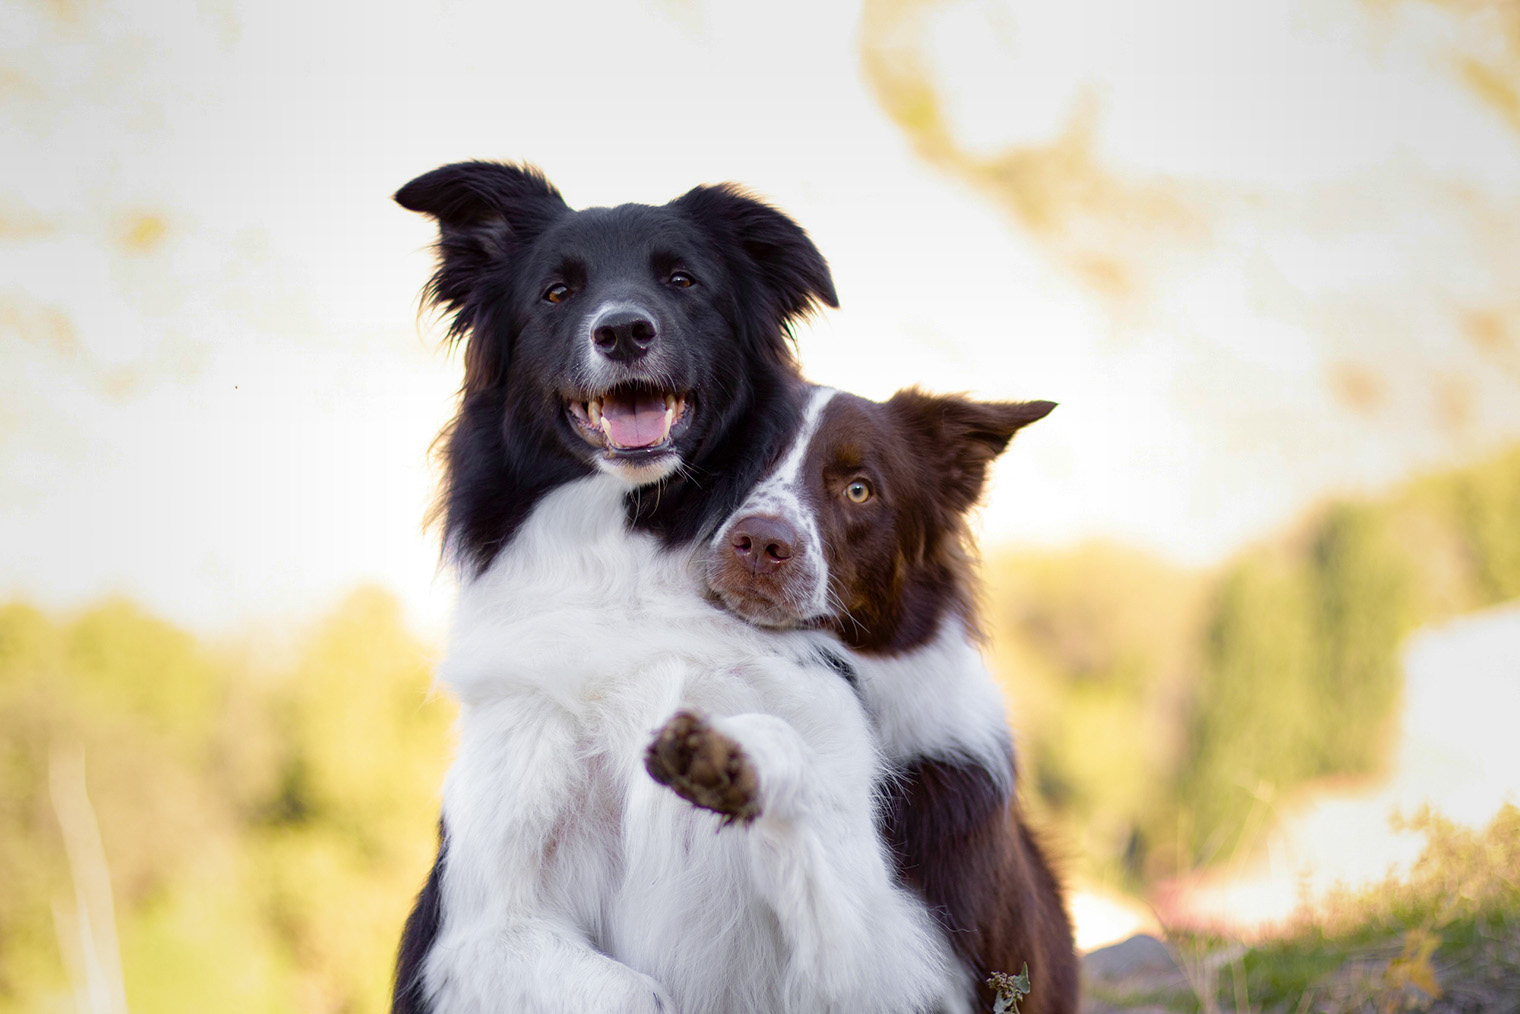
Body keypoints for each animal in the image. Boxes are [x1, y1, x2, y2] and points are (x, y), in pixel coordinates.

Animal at [392, 162, 960, 1009]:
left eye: (683, 279)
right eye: (556, 292)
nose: (624, 331)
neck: (631, 562)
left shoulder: (881, 955)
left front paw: (738, 760)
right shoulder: (482, 927)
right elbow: (630, 988)